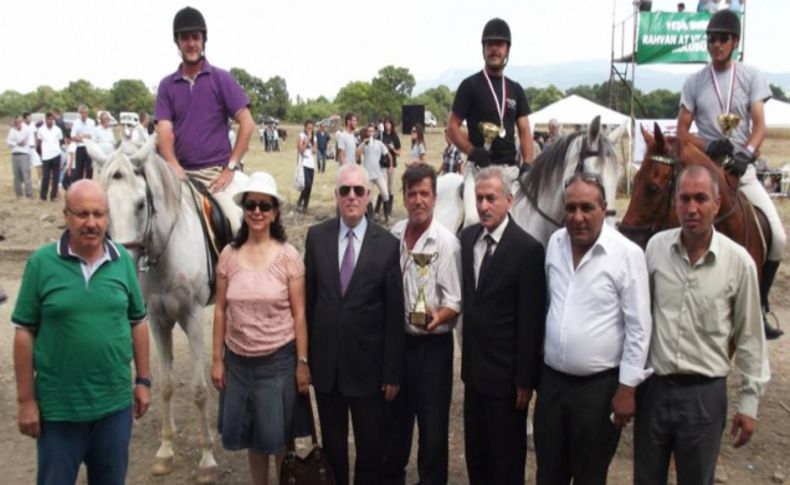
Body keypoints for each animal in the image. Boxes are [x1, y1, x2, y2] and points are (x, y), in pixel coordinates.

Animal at [84, 137, 243, 484]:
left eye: (141, 204)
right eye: (103, 204)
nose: (122, 262)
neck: (165, 250)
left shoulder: (193, 318)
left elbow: (198, 390)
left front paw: (207, 458)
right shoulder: (157, 320)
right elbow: (166, 385)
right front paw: (166, 451)